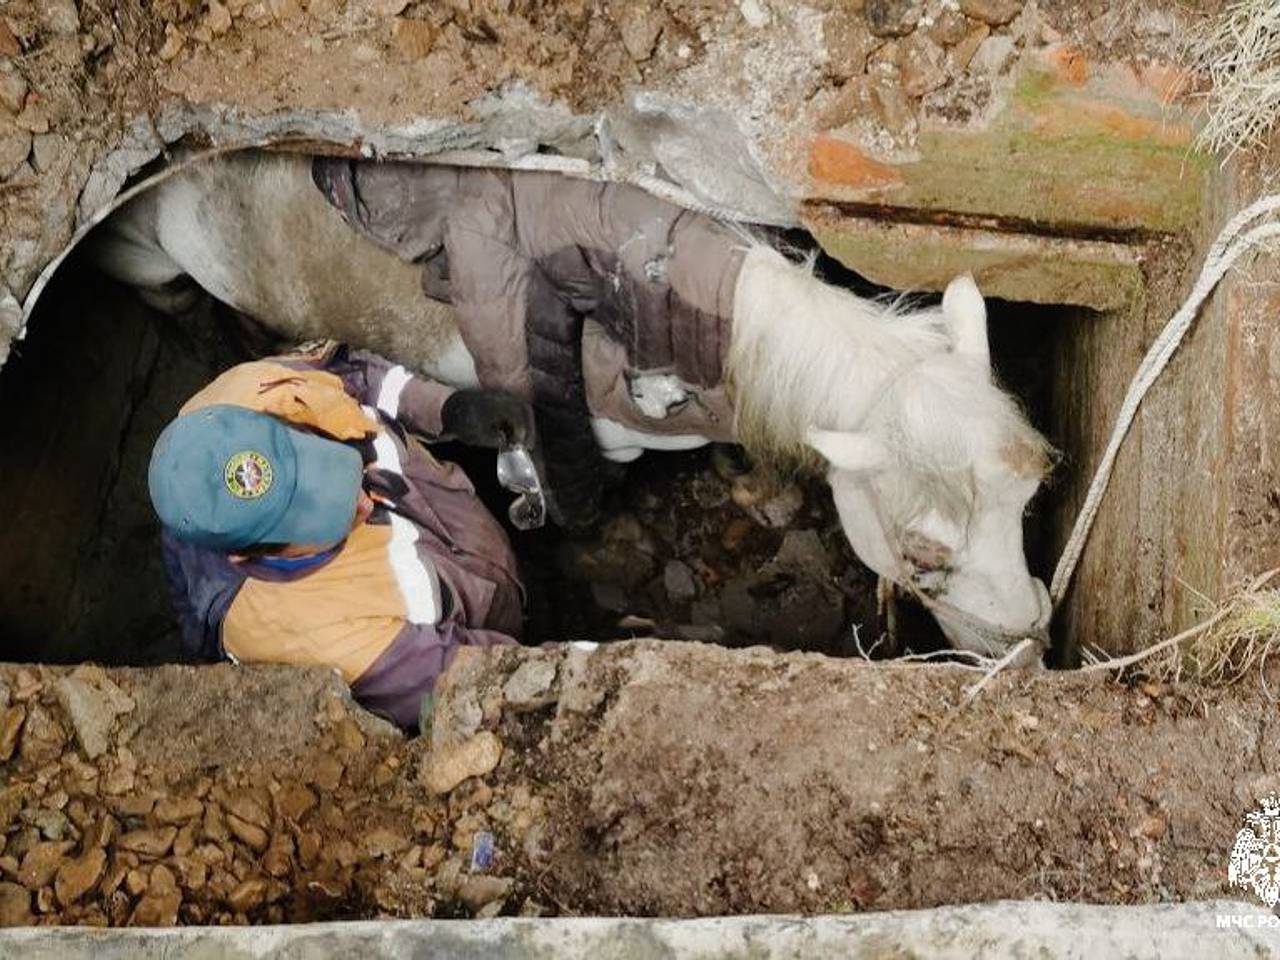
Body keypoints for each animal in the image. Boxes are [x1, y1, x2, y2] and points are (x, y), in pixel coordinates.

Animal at [87, 152, 1049, 660]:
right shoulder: (608, 441)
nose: (1026, 649)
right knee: (172, 300)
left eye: (1031, 502)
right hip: (142, 258)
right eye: (923, 557)